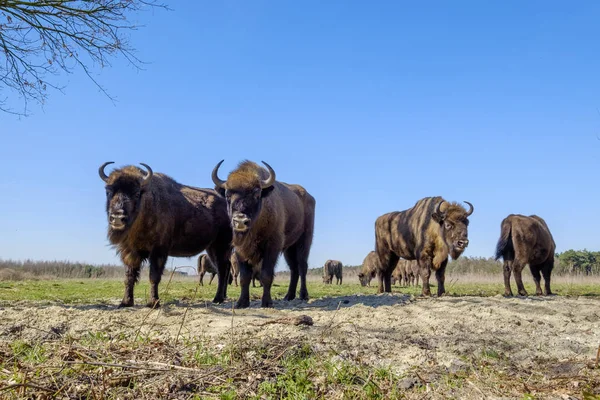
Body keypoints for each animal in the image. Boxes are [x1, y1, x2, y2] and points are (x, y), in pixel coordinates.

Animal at [98, 161, 232, 308]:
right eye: (108, 191)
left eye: (136, 193)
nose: (117, 217)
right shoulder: (130, 251)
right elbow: (129, 276)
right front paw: (125, 302)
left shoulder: (159, 251)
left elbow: (154, 276)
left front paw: (153, 302)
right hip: (211, 248)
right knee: (223, 269)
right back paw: (221, 297)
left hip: (221, 246)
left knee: (222, 270)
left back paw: (217, 298)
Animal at [211, 159, 316, 310]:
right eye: (227, 195)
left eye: (257, 194)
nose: (240, 220)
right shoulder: (240, 250)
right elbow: (245, 276)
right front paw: (241, 302)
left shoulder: (272, 247)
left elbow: (266, 274)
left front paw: (267, 302)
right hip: (289, 248)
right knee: (293, 269)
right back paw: (289, 296)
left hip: (304, 240)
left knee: (302, 266)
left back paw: (303, 295)